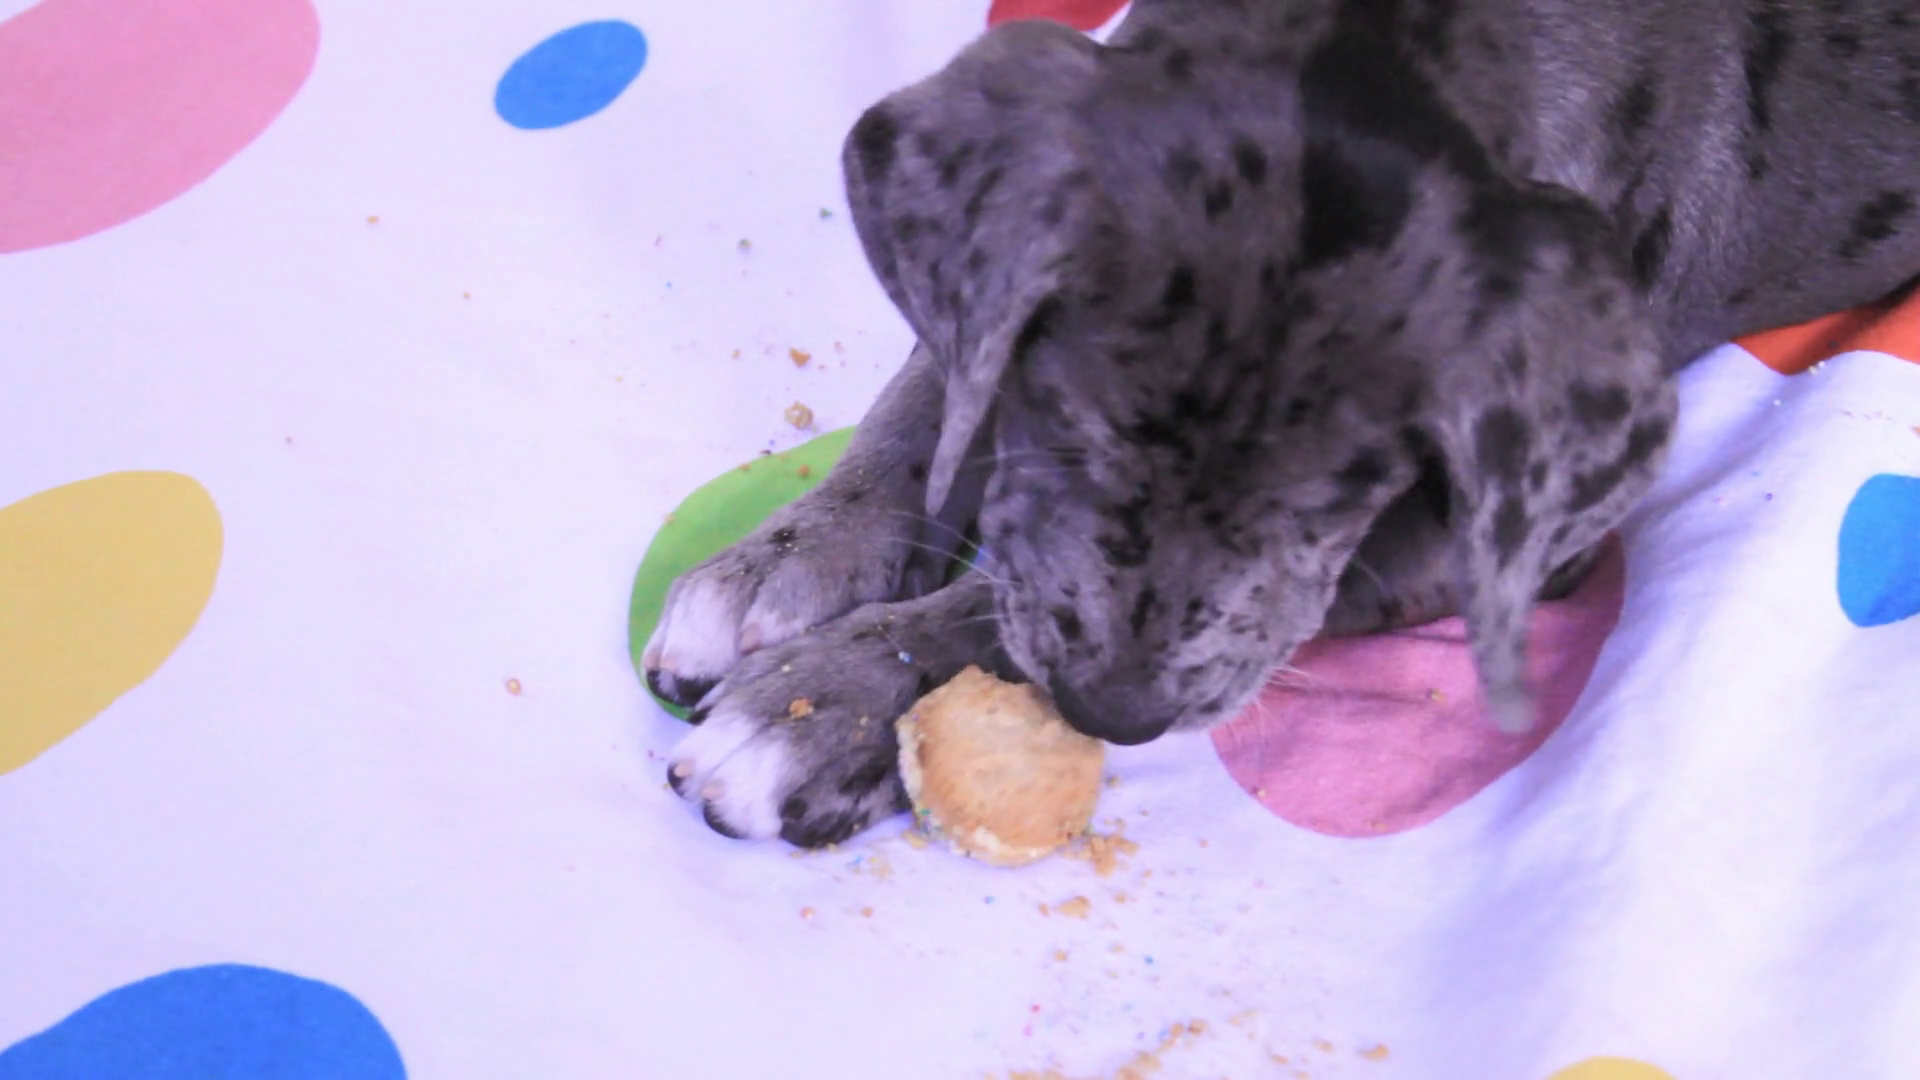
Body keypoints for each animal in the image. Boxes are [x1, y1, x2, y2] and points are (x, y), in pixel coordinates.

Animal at [644, 0, 1920, 847]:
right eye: (1071, 422)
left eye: (1347, 492)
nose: (1111, 714)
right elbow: (937, 381)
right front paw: (793, 557)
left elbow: (992, 606)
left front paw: (835, 701)